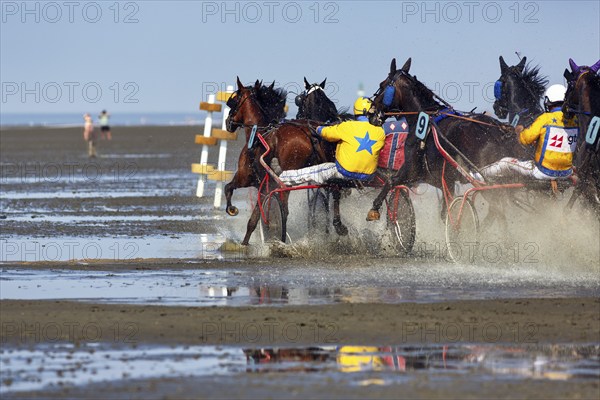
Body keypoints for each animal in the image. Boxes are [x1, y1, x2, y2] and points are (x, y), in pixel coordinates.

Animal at [366, 57, 524, 227]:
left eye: (382, 84)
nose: (370, 113)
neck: (424, 118)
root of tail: (499, 131)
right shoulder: (441, 181)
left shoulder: (412, 170)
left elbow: (391, 182)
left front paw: (375, 210)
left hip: (487, 179)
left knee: (498, 210)